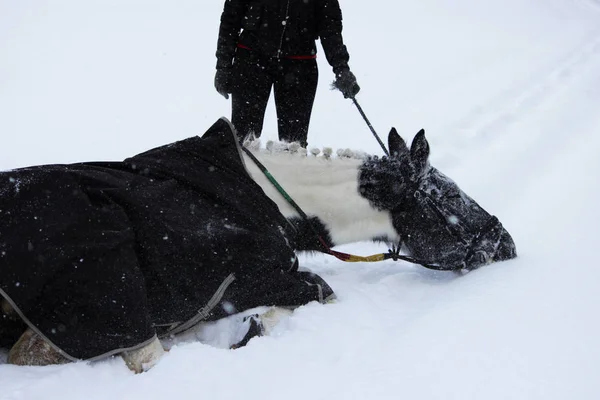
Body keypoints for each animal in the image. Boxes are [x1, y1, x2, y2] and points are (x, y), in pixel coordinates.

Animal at [0, 118, 516, 372]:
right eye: (446, 197)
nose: (504, 242)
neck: (270, 197)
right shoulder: (247, 281)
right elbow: (319, 289)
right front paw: (251, 330)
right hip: (110, 293)